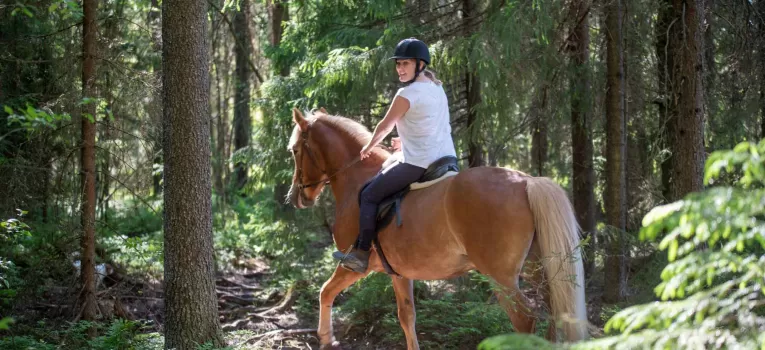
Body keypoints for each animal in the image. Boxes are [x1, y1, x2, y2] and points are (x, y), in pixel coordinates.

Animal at [286, 108, 584, 348]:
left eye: (295, 150)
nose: (297, 197)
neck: (356, 177)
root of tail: (526, 182)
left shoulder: (355, 265)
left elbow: (325, 291)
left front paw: (326, 338)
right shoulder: (399, 272)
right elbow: (407, 317)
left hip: (501, 276)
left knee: (524, 318)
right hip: (538, 268)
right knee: (554, 312)